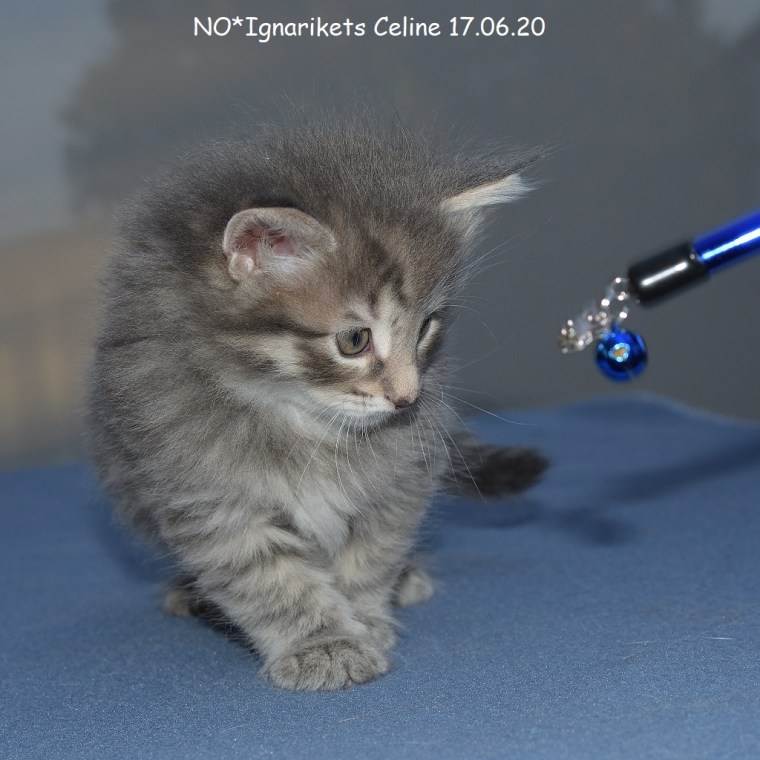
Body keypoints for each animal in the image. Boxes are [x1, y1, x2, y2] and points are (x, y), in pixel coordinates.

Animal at [86, 115, 548, 691]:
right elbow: (271, 579)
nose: (407, 398)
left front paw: (365, 618)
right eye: (354, 340)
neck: (303, 420)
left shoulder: (404, 476)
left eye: (426, 327)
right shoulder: (206, 495)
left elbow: (372, 554)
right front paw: (324, 644)